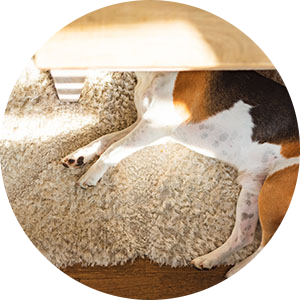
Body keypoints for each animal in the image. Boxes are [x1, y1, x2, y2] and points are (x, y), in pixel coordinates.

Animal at [59, 71, 298, 278]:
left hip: (274, 189)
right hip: (254, 187)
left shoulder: (153, 127)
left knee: (262, 241)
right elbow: (106, 140)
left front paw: (92, 173)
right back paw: (210, 260)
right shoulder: (152, 129)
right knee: (244, 236)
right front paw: (81, 155)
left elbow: (113, 148)